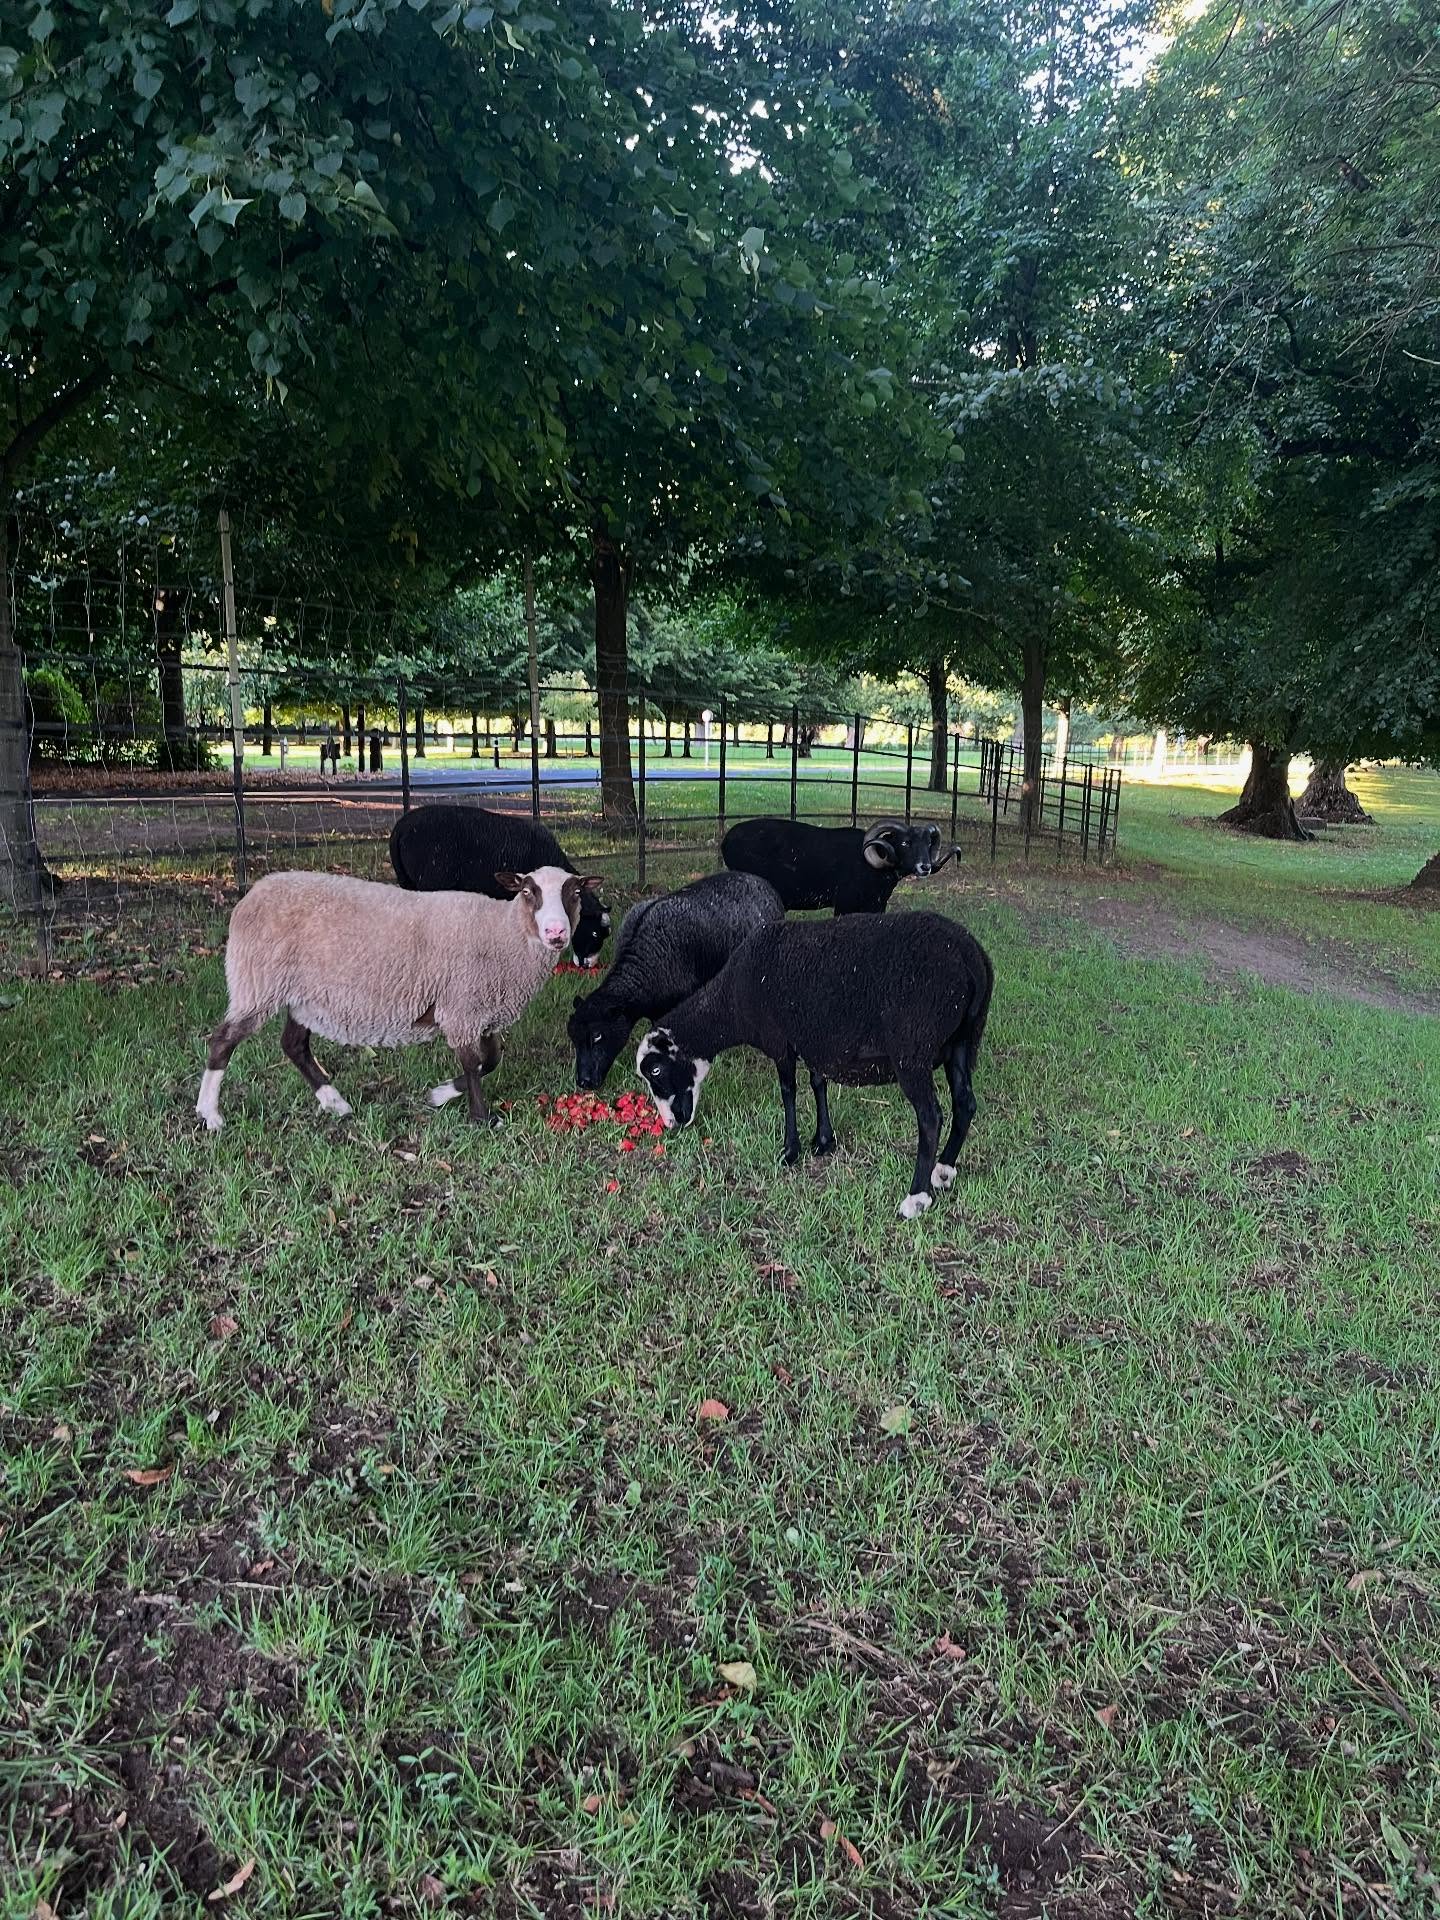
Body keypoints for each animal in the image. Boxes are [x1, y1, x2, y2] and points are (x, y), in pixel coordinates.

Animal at [195, 865, 599, 1133]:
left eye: (575, 893)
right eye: (528, 892)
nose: (556, 933)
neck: (503, 934)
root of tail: (250, 897)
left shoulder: (482, 1012)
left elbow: (492, 1060)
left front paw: (439, 1095)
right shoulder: (462, 1007)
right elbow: (474, 1064)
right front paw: (481, 1118)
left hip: (304, 994)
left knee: (293, 1045)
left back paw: (335, 1102)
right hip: (257, 982)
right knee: (222, 1041)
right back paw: (210, 1114)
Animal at [635, 911, 993, 1219]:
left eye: (655, 1070)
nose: (670, 1123)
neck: (731, 1002)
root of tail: (970, 955)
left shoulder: (780, 1040)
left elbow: (788, 1091)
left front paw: (789, 1151)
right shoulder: (812, 1039)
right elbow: (818, 1084)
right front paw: (823, 1141)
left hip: (913, 1046)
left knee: (931, 1117)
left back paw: (915, 1198)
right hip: (964, 1040)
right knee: (965, 1103)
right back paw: (943, 1171)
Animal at [720, 817, 956, 916]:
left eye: (928, 843)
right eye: (906, 843)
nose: (925, 867)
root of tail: (726, 840)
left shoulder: (876, 906)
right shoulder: (844, 904)